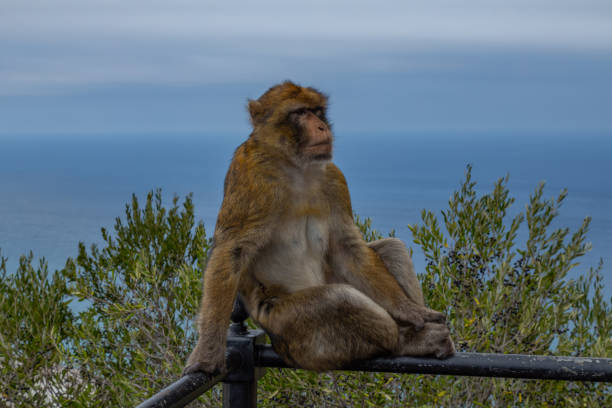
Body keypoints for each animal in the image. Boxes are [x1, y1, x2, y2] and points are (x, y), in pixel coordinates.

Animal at [183, 80, 454, 376]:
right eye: (300, 113)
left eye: (317, 111)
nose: (322, 126)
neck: (295, 165)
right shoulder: (250, 175)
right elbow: (232, 250)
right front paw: (208, 353)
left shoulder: (334, 178)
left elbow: (347, 246)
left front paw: (409, 310)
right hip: (291, 330)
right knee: (337, 299)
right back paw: (404, 341)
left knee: (391, 249)